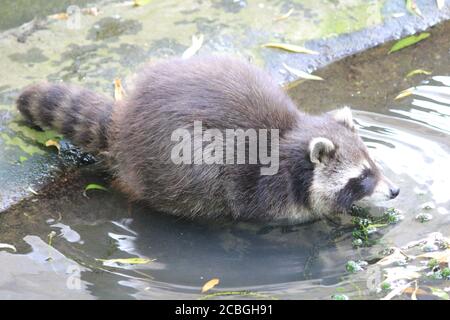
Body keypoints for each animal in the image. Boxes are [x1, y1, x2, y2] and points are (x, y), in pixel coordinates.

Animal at [15, 55, 400, 222]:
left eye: (374, 164)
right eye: (363, 176)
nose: (396, 191)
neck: (291, 135)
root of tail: (125, 121)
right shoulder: (265, 189)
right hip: (177, 166)